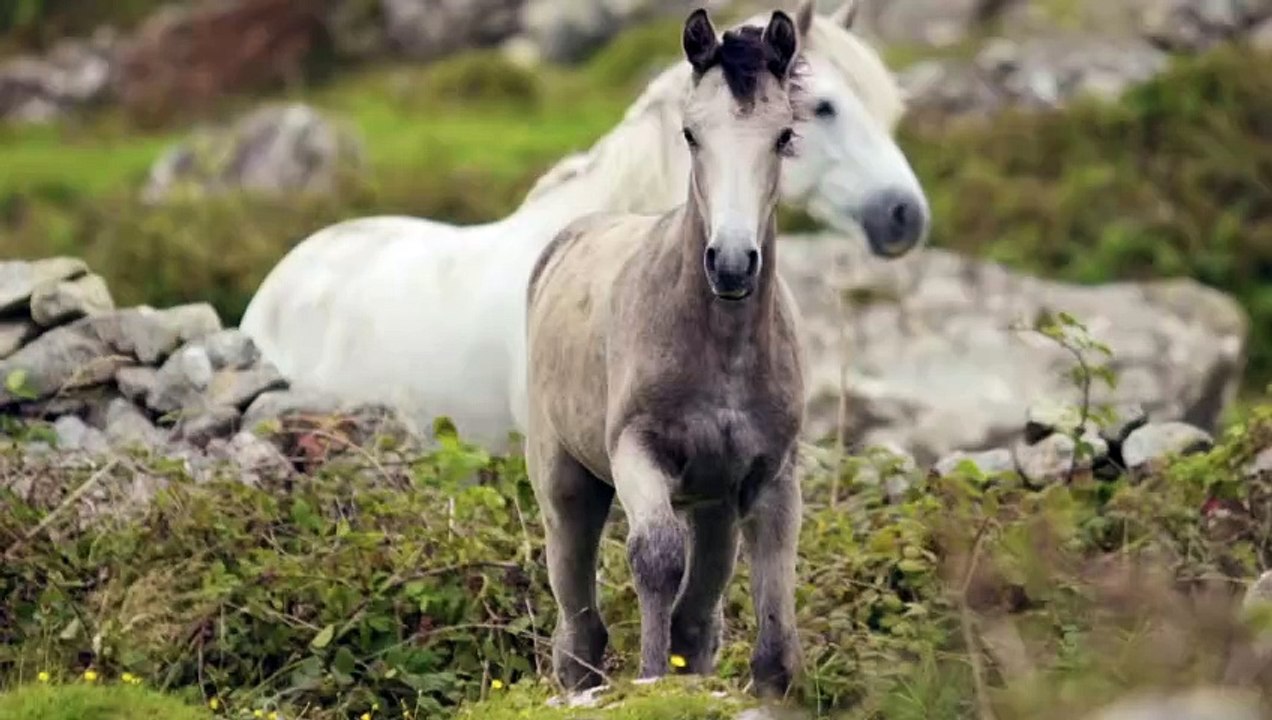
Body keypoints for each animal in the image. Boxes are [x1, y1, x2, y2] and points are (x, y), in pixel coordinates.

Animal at [525, 7, 810, 698]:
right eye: (690, 134)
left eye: (783, 135)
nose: (731, 263)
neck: (724, 352)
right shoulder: (638, 450)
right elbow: (655, 556)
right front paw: (651, 678)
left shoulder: (770, 474)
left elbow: (773, 609)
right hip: (565, 486)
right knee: (579, 629)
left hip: (714, 505)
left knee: (697, 621)